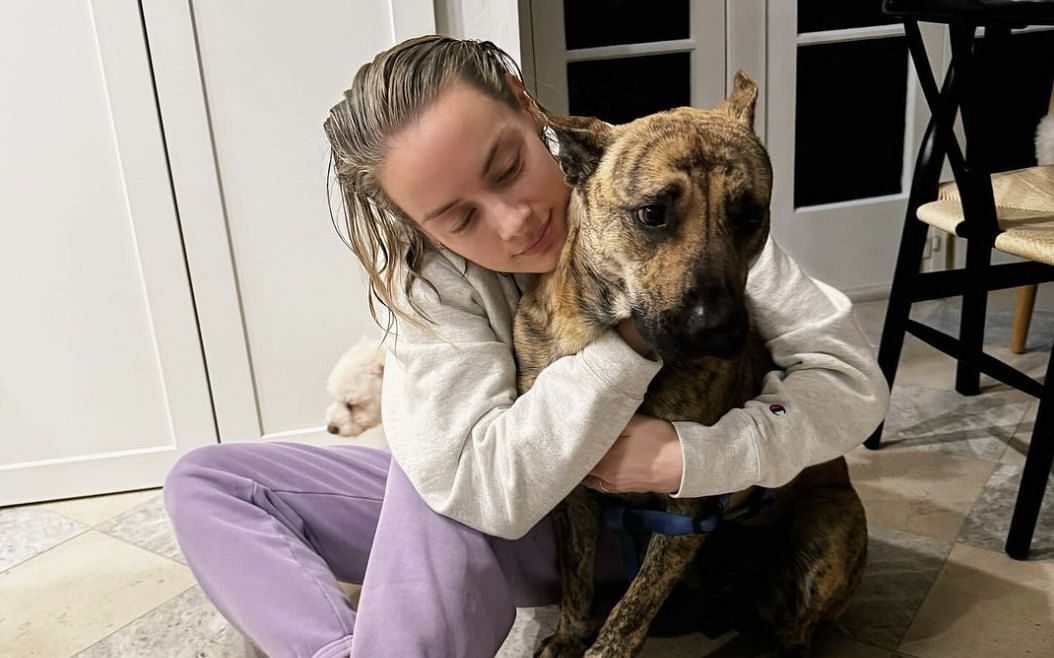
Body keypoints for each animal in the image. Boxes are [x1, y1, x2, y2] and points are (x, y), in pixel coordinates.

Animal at [514, 74, 868, 653]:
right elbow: (576, 575)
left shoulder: (687, 511)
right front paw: (568, 634)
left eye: (751, 214)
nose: (719, 328)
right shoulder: (574, 495)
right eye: (652, 214)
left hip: (831, 523)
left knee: (796, 630)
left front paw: (600, 645)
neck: (602, 328)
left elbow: (633, 608)